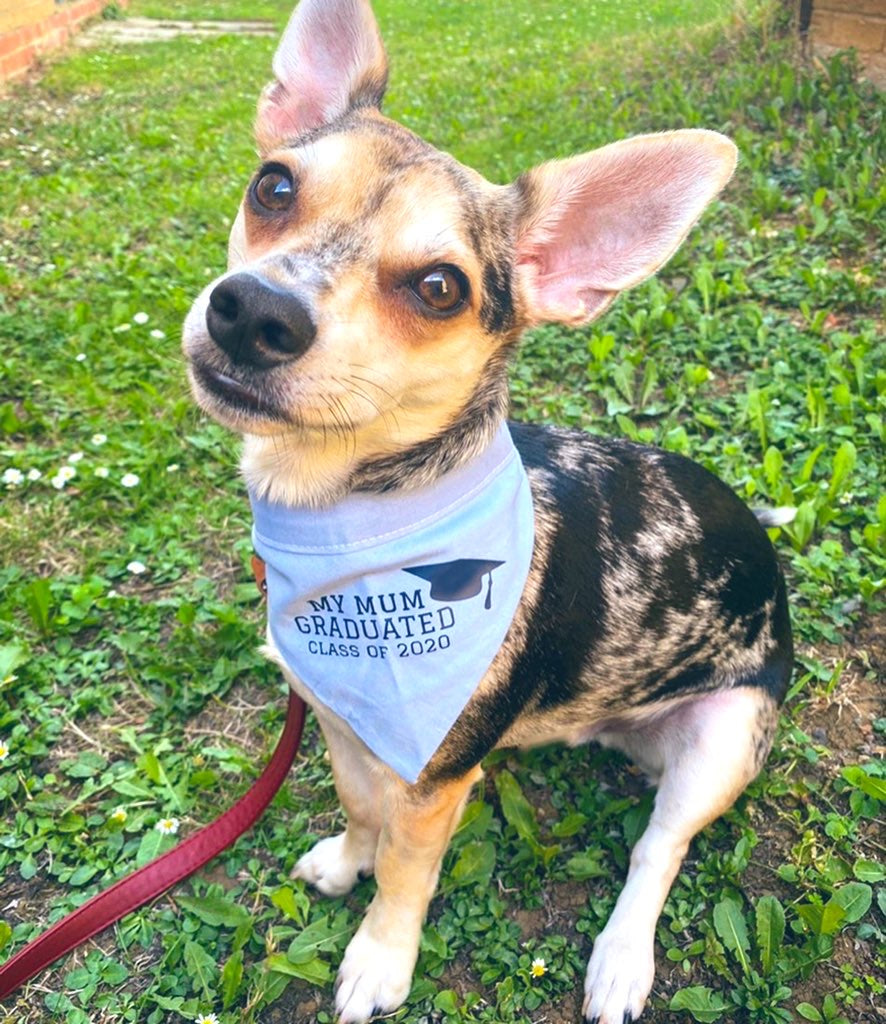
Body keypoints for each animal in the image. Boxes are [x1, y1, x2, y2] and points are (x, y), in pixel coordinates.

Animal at [183, 4, 790, 1019]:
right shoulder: (341, 718)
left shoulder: (434, 775)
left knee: (657, 850)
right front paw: (346, 859)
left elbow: (408, 871)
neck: (352, 508)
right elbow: (360, 809)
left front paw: (379, 957)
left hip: (723, 736)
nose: (251, 310)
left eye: (440, 288)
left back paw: (622, 960)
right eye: (273, 186)